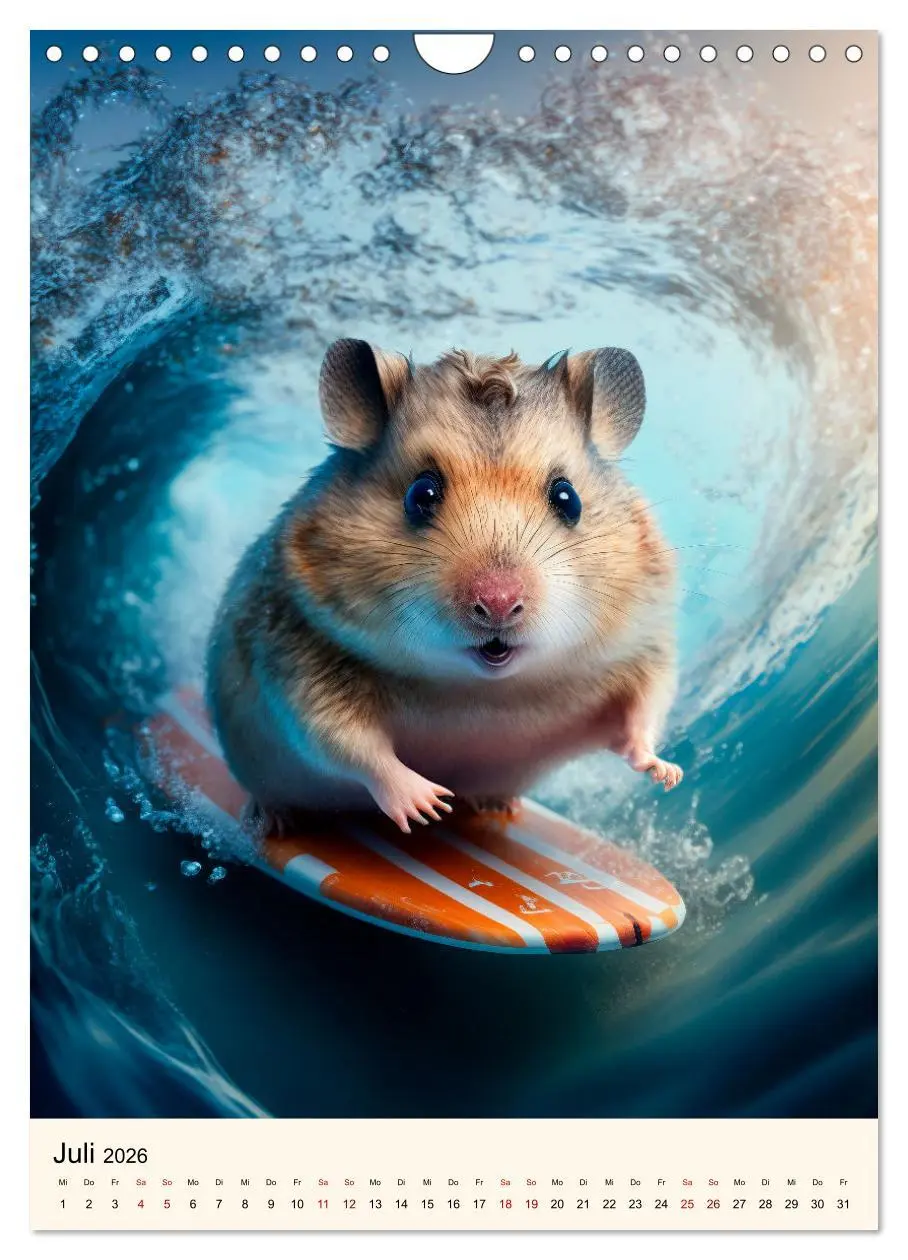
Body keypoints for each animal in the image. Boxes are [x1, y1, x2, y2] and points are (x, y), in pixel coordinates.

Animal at [206, 339, 682, 835]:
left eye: (568, 498)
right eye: (421, 494)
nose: (497, 605)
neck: (483, 689)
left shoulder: (646, 650)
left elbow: (644, 711)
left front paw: (665, 773)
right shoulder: (298, 665)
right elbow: (348, 743)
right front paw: (431, 804)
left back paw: (497, 804)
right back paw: (269, 822)